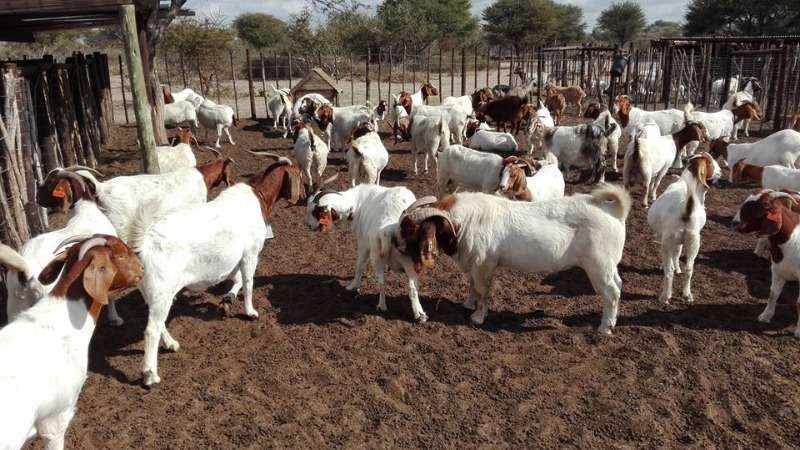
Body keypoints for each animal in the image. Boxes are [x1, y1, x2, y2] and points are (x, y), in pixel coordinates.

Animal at [133, 158, 305, 386]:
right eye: (300, 175)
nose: (304, 196)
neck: (258, 197)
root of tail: (145, 243)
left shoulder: (234, 260)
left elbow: (237, 279)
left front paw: (227, 300)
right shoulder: (250, 253)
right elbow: (248, 282)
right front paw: (250, 312)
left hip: (153, 293)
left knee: (158, 323)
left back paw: (171, 344)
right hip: (161, 290)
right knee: (151, 329)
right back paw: (150, 375)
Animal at [395, 184, 631, 334]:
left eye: (412, 230)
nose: (398, 248)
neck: (465, 220)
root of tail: (613, 211)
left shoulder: (485, 264)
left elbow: (482, 290)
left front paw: (478, 317)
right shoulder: (475, 263)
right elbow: (471, 285)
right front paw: (468, 304)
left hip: (598, 265)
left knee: (612, 292)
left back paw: (605, 327)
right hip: (608, 265)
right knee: (619, 285)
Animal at [648, 153, 716, 304]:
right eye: (711, 162)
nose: (719, 172)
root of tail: (686, 209)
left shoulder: (667, 239)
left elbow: (674, 256)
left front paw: (667, 266)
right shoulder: (681, 240)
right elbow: (678, 254)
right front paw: (679, 269)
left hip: (669, 240)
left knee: (669, 270)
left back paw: (665, 296)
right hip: (693, 241)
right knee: (689, 269)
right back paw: (687, 295)